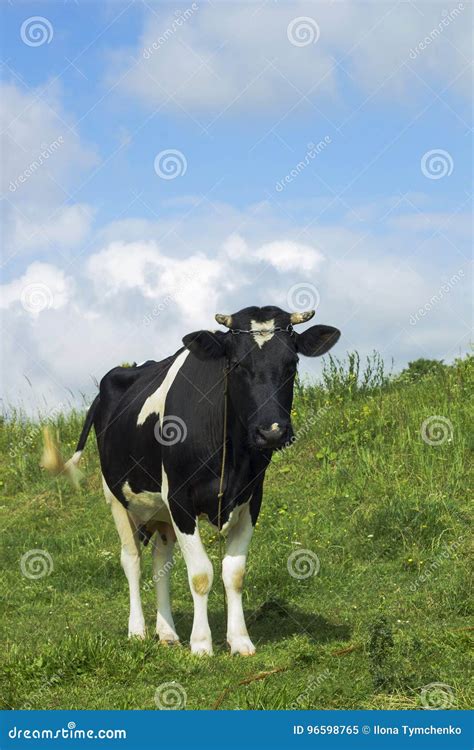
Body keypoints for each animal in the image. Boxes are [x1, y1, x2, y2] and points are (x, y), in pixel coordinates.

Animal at [42, 308, 338, 656]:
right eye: (236, 364)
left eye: (291, 363)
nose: (272, 432)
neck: (230, 456)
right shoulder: (180, 498)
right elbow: (200, 574)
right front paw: (202, 645)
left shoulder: (252, 498)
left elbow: (234, 573)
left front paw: (240, 640)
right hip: (116, 497)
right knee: (132, 561)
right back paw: (138, 630)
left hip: (160, 512)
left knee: (160, 562)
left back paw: (167, 632)